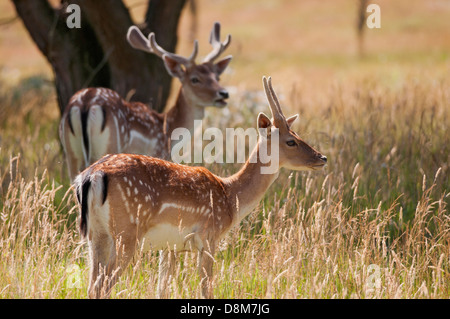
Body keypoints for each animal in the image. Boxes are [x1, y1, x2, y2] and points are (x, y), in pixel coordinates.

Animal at [59, 21, 232, 182]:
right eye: (195, 79)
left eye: (217, 77)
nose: (224, 93)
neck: (168, 131)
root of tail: (85, 103)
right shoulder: (158, 152)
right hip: (109, 145)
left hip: (71, 152)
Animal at [74, 76, 326, 298]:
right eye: (291, 141)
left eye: (297, 135)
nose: (321, 158)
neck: (230, 198)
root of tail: (92, 175)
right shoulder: (209, 237)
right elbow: (206, 289)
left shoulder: (170, 246)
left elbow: (162, 290)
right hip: (127, 231)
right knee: (103, 285)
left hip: (96, 233)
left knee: (92, 285)